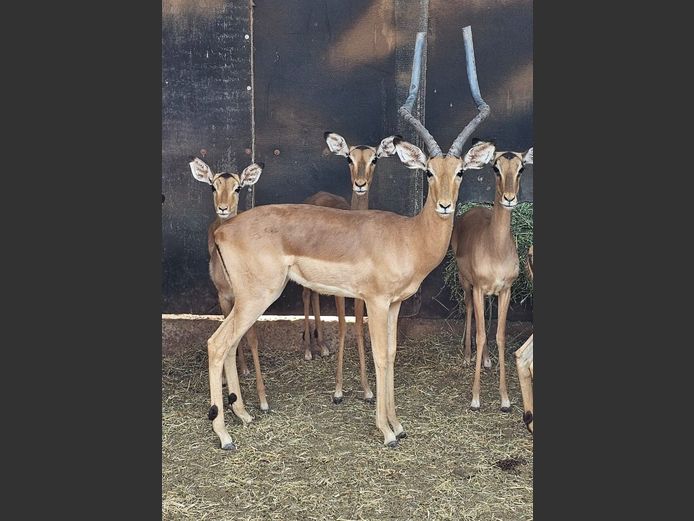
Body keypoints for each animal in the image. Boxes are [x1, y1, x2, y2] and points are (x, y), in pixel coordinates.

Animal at [189, 158, 269, 412]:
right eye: (212, 187)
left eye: (238, 187)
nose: (223, 208)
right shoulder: (223, 296)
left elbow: (252, 338)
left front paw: (263, 399)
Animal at [301, 132, 399, 406]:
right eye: (349, 158)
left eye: (374, 158)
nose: (360, 183)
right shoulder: (341, 292)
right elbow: (344, 327)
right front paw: (338, 391)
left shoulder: (362, 295)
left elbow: (358, 328)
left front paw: (367, 390)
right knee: (306, 296)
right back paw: (308, 351)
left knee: (314, 296)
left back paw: (322, 347)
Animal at [450, 143, 533, 412]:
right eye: (496, 168)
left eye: (521, 168)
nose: (509, 198)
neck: (495, 248)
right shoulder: (477, 287)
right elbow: (481, 334)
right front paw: (475, 399)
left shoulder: (505, 290)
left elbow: (499, 336)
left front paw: (505, 399)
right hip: (466, 284)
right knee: (469, 311)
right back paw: (468, 356)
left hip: (489, 294)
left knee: (483, 316)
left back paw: (485, 359)